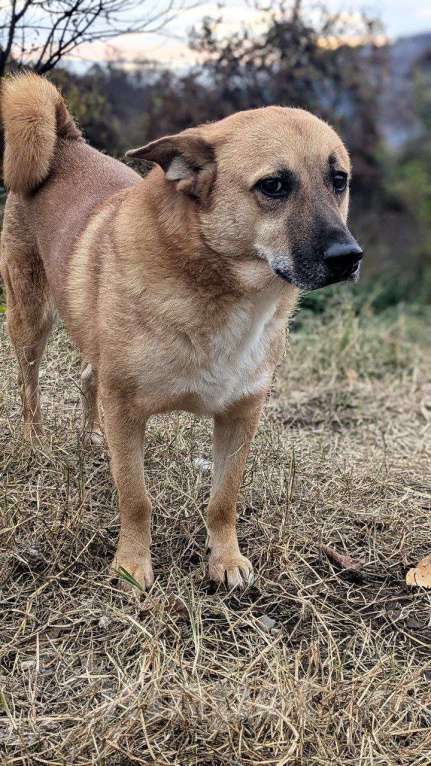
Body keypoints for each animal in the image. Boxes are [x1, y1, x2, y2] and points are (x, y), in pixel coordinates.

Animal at [0, 75, 364, 592]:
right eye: (273, 186)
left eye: (339, 180)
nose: (347, 257)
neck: (217, 291)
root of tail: (65, 141)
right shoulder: (127, 411)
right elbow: (135, 498)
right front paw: (132, 566)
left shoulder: (240, 415)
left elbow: (224, 499)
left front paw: (224, 559)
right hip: (31, 319)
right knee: (28, 383)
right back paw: (34, 440)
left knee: (88, 378)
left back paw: (92, 433)